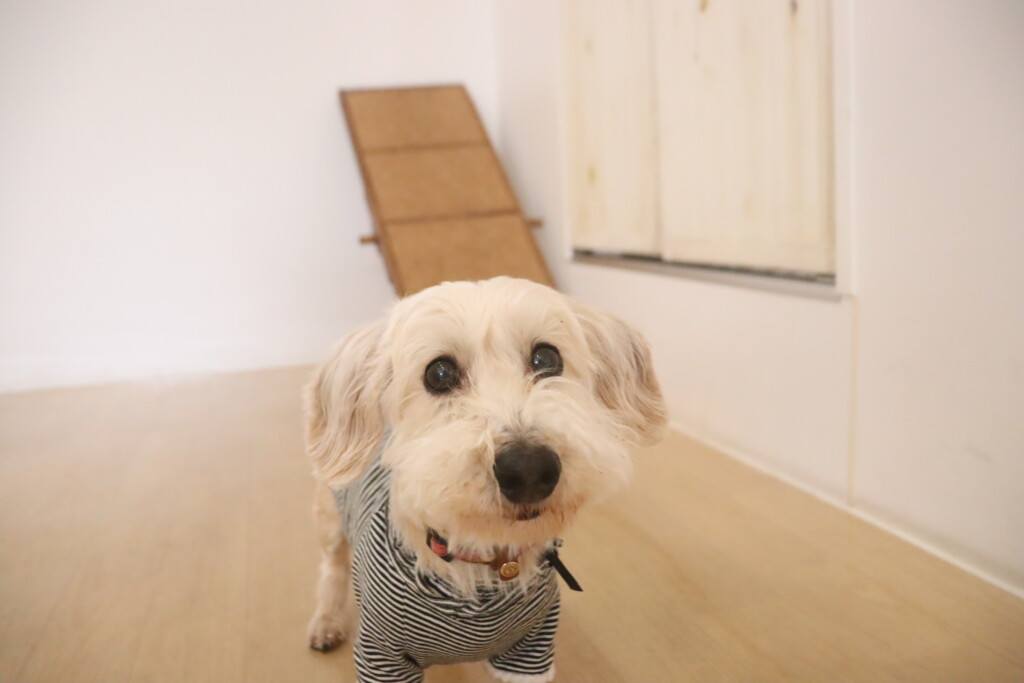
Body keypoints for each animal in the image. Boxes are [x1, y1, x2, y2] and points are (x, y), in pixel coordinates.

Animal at [303, 276, 666, 682]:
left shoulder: (530, 652)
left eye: (546, 358)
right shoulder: (382, 657)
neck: (485, 562)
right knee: (332, 570)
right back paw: (326, 622)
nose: (529, 470)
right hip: (330, 521)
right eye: (439, 373)